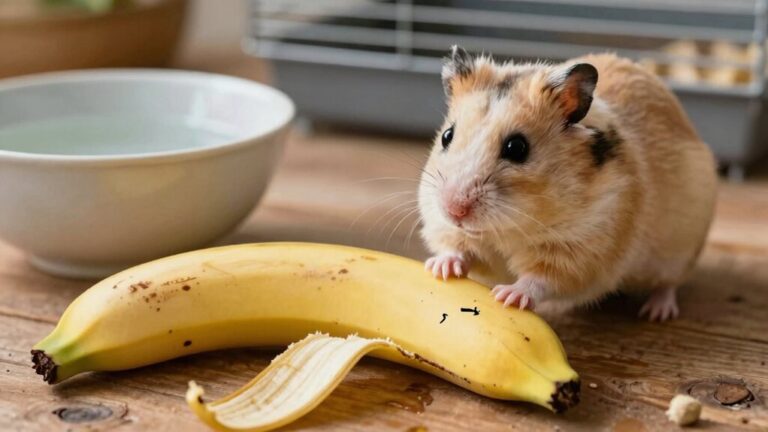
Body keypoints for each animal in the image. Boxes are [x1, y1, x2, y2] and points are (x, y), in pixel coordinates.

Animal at [418, 46, 717, 321]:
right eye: (446, 135)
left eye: (517, 148)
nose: (454, 210)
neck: (510, 228)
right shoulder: (445, 226)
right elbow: (457, 248)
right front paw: (438, 268)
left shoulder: (581, 250)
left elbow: (541, 278)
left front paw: (507, 296)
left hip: (679, 252)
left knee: (668, 284)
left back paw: (656, 313)